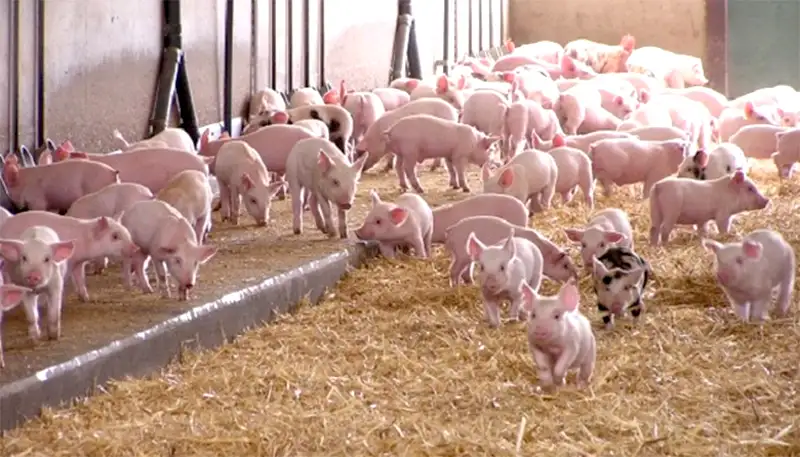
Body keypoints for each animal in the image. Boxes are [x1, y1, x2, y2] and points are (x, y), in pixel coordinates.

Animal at [0, 212, 138, 301]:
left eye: (126, 232)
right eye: (115, 236)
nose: (135, 248)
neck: (84, 240)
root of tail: (4, 225)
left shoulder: (79, 263)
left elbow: (80, 278)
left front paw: (86, 298)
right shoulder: (69, 261)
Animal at [445, 215, 576, 286]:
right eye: (565, 265)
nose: (576, 278)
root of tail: (452, 229)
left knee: (465, 272)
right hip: (461, 255)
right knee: (454, 271)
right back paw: (455, 287)